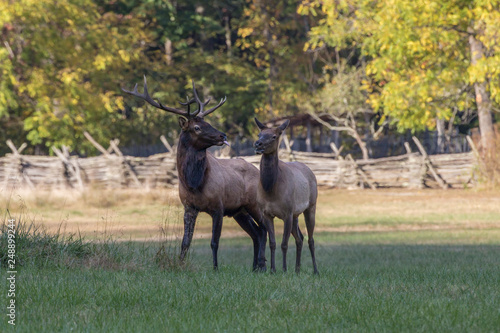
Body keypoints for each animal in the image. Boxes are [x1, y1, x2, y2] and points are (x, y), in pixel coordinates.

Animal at [123, 76, 268, 268]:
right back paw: (255, 267)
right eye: (197, 127)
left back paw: (264, 266)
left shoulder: (219, 206)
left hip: (254, 204)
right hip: (240, 211)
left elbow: (214, 242)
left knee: (265, 230)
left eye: (208, 123)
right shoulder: (189, 207)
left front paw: (215, 268)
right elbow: (186, 242)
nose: (223, 135)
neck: (194, 183)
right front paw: (180, 265)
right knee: (257, 233)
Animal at [256, 118, 318, 274]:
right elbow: (272, 243)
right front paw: (273, 269)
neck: (270, 190)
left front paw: (283, 269)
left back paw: (315, 270)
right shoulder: (266, 213)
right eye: (259, 134)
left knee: (311, 239)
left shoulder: (287, 212)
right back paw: (297, 269)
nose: (257, 144)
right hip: (296, 214)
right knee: (300, 238)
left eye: (274, 136)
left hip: (311, 206)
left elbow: (284, 243)